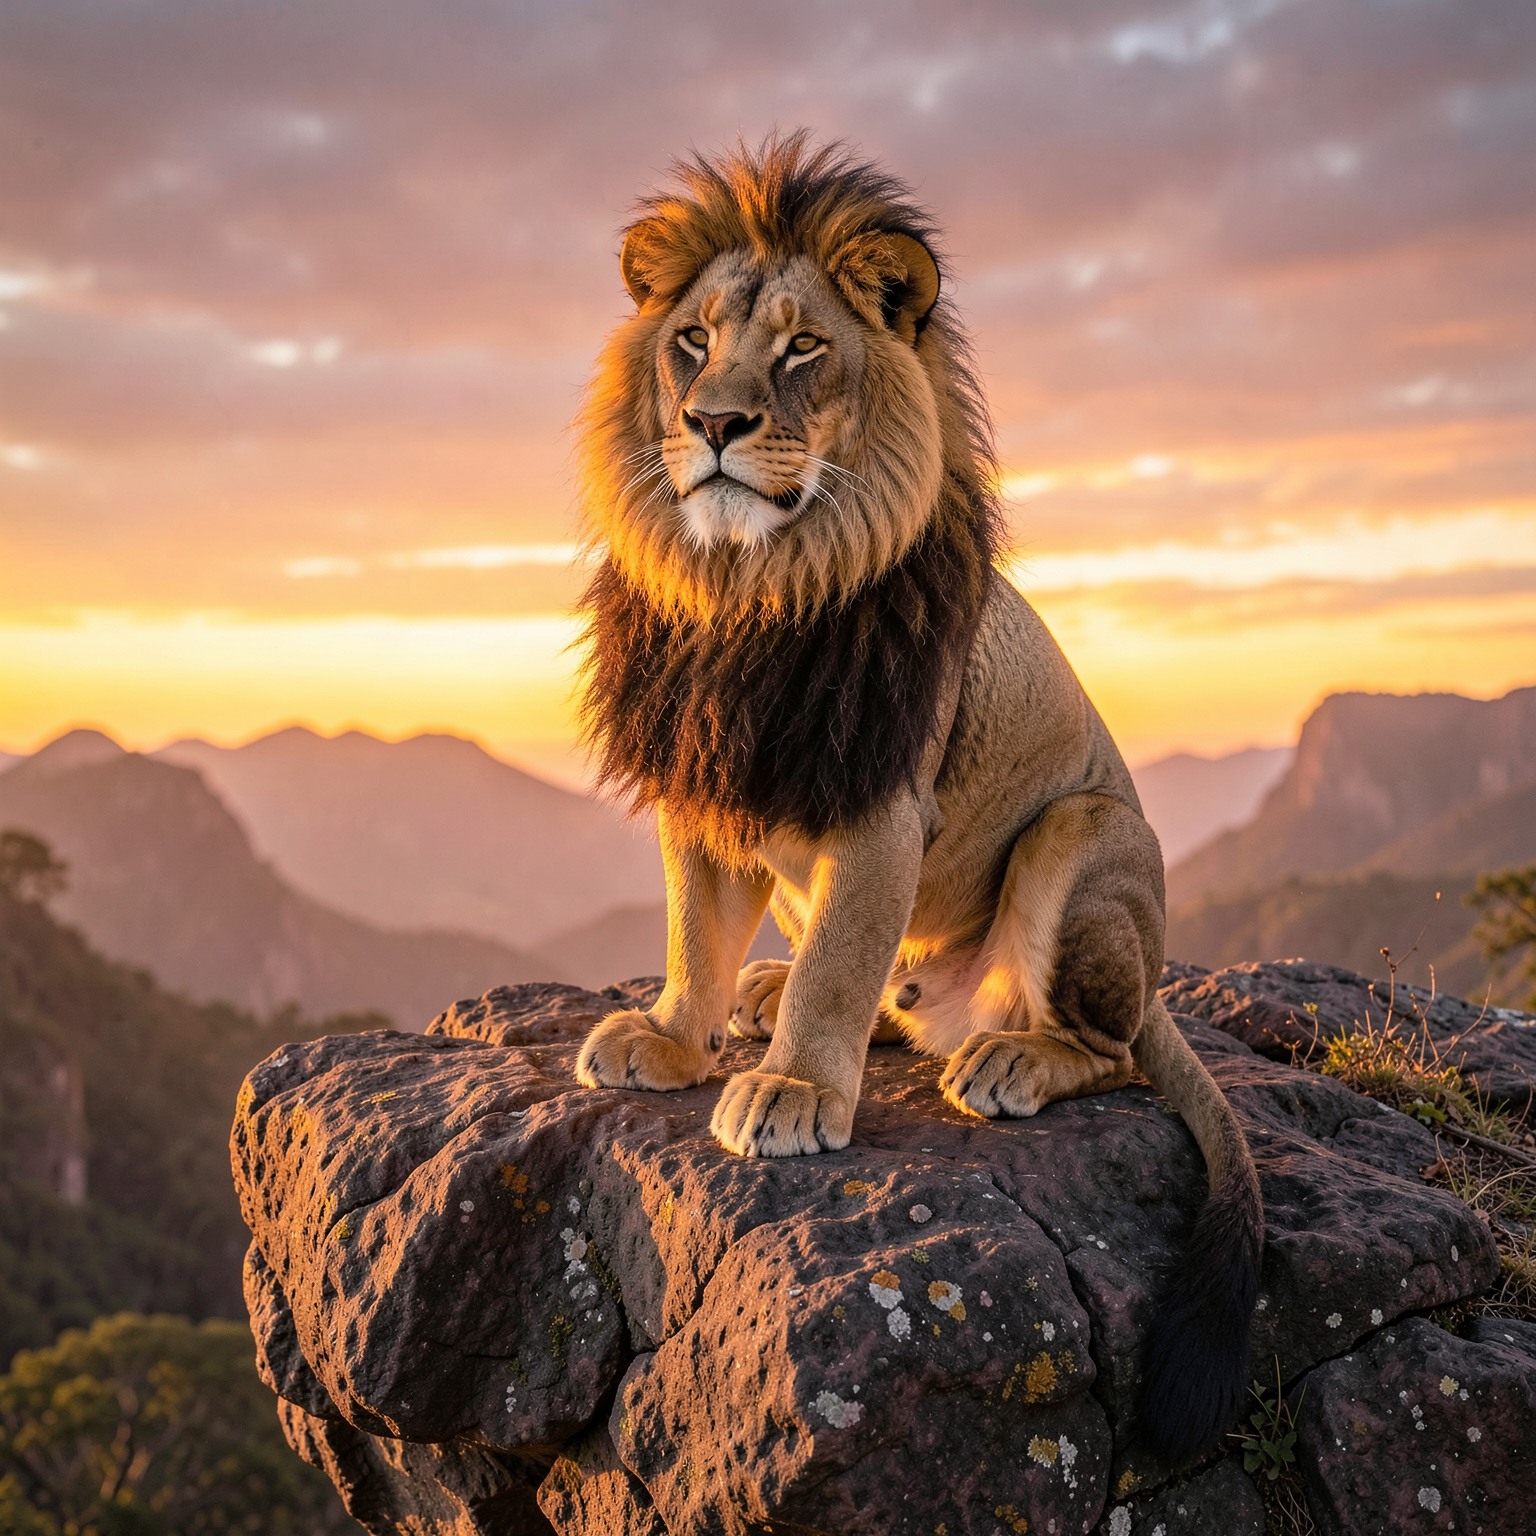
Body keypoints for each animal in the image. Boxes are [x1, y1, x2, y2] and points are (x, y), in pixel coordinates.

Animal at [572, 132, 1262, 1465]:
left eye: (800, 348)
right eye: (692, 340)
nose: (714, 421)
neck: (751, 591)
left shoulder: (881, 802)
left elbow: (842, 955)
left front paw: (792, 1089)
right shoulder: (707, 785)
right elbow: (694, 932)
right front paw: (676, 1034)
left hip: (1080, 841)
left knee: (1105, 1048)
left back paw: (1005, 1058)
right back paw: (777, 994)